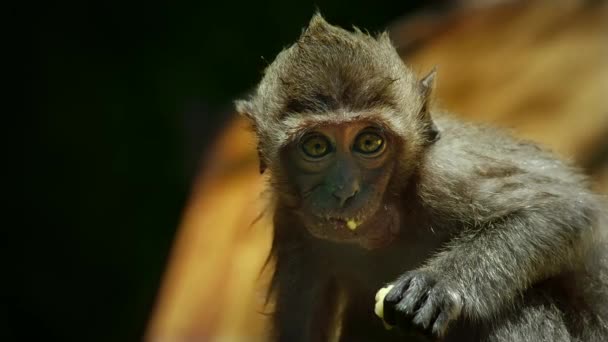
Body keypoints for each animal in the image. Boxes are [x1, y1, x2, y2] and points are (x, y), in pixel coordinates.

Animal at [234, 14, 608, 342]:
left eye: (369, 143)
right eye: (315, 146)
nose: (344, 192)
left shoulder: (445, 174)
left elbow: (566, 209)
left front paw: (439, 285)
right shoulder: (290, 220)